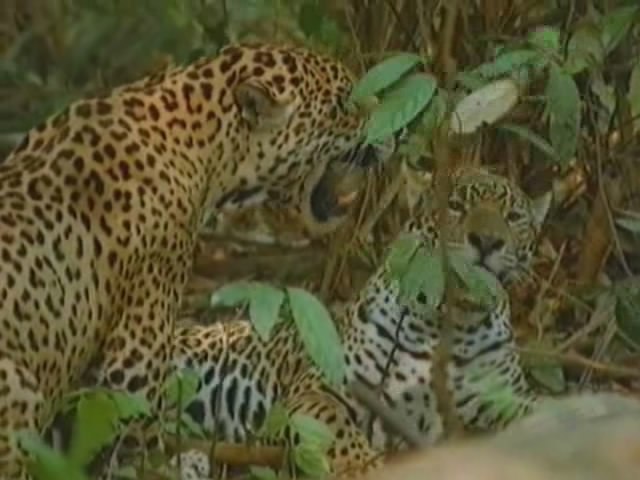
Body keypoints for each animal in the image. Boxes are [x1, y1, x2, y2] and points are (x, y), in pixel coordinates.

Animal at [47, 165, 552, 479]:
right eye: (456, 206)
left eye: (513, 217)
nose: (487, 241)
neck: (454, 320)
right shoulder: (323, 387)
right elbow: (338, 428)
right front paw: (362, 466)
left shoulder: (507, 400)